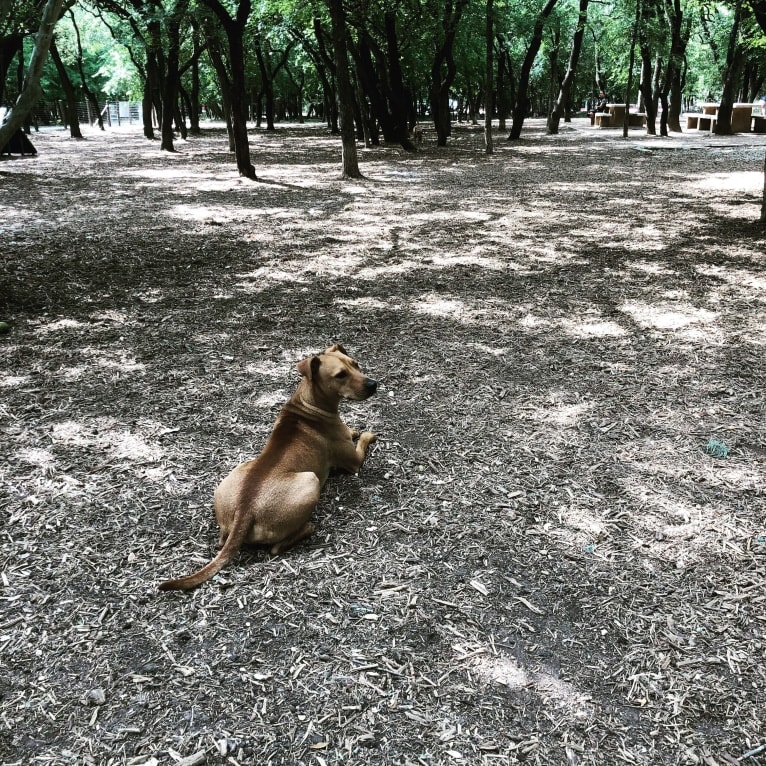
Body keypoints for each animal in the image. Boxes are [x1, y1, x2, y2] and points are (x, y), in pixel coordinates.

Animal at [160, 344, 380, 592]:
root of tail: (245, 511)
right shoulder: (354, 461)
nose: (373, 384)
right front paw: (366, 434)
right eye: (340, 375)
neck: (309, 403)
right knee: (276, 547)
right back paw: (307, 528)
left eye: (355, 364)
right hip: (310, 480)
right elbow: (363, 441)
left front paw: (353, 430)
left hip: (235, 476)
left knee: (221, 540)